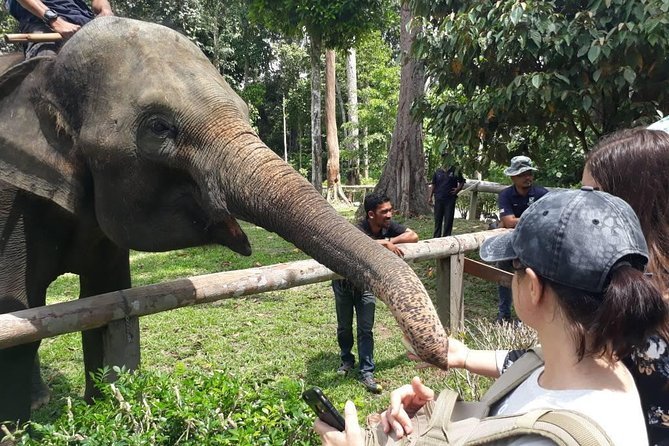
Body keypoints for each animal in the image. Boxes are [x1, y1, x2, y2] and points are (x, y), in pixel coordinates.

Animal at [0, 15, 448, 424]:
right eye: (159, 127)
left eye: (245, 110)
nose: (440, 357)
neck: (45, 72)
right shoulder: (8, 203)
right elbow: (17, 321)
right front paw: (20, 425)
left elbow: (105, 307)